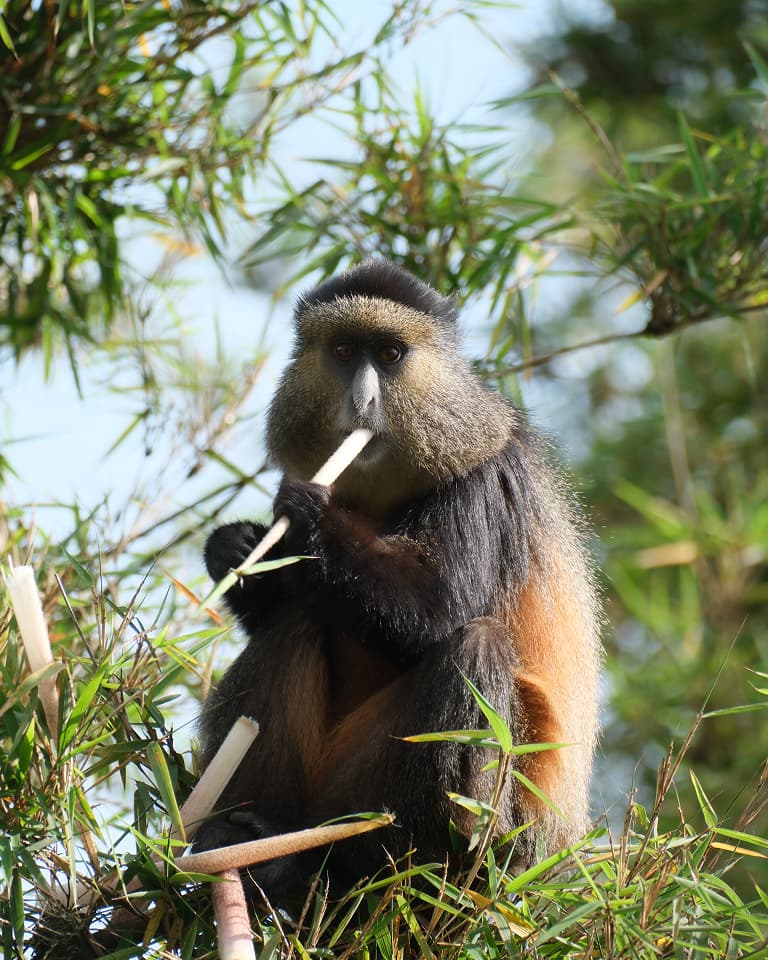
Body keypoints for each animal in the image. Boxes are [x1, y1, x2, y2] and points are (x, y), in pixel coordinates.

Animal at [198, 258, 602, 899]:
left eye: (389, 355)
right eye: (343, 351)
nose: (363, 400)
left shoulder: (481, 481)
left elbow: (434, 614)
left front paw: (309, 516)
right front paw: (236, 549)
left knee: (476, 648)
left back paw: (415, 867)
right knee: (294, 624)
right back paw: (247, 841)